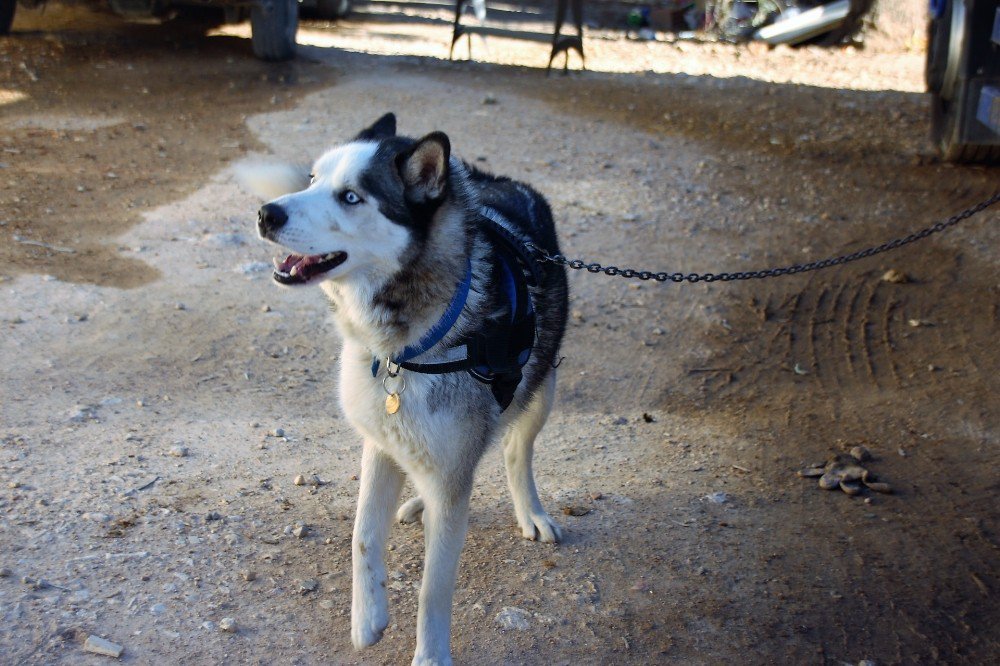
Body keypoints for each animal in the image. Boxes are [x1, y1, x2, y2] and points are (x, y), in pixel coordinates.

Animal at [254, 111, 568, 660]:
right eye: (312, 179)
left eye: (351, 196)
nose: (265, 215)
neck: (406, 350)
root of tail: (497, 180)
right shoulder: (380, 445)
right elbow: (361, 535)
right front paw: (367, 619)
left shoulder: (451, 466)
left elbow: (432, 586)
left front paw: (430, 655)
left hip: (541, 389)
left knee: (514, 450)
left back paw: (528, 509)